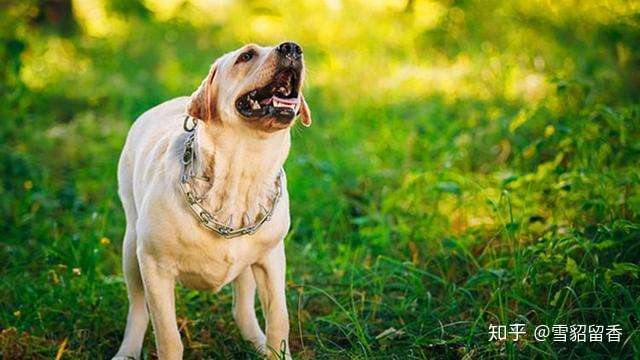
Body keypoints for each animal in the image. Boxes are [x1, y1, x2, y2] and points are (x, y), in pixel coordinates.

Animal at [113, 43, 312, 360]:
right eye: (246, 55)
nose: (292, 47)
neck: (243, 175)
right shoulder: (154, 266)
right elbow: (167, 336)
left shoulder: (271, 259)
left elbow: (279, 319)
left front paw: (273, 350)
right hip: (131, 249)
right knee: (137, 309)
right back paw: (127, 351)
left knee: (242, 308)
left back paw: (256, 340)